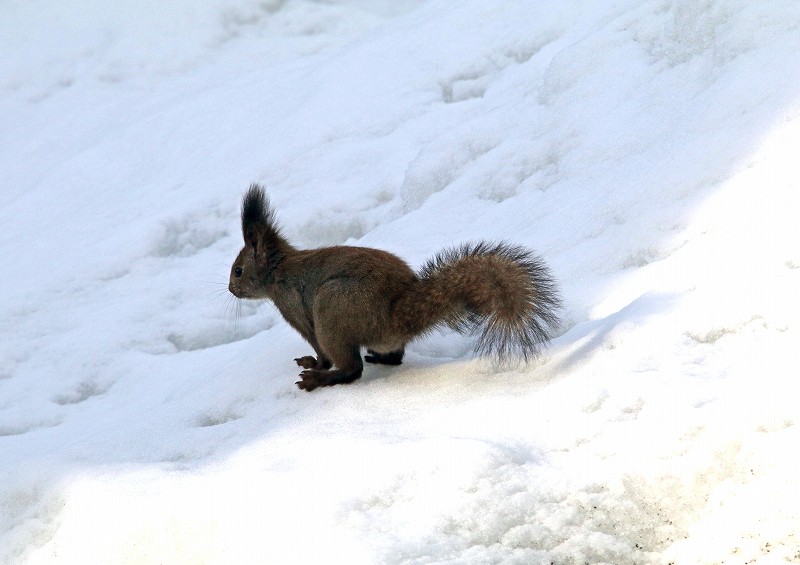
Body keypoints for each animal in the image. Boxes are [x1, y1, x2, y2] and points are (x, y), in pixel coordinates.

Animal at [228, 183, 560, 390]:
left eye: (238, 270)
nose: (231, 289)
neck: (280, 271)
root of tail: (397, 318)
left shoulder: (297, 310)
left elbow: (320, 351)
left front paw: (317, 366)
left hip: (332, 309)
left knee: (352, 368)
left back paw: (321, 380)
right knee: (395, 356)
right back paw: (381, 357)